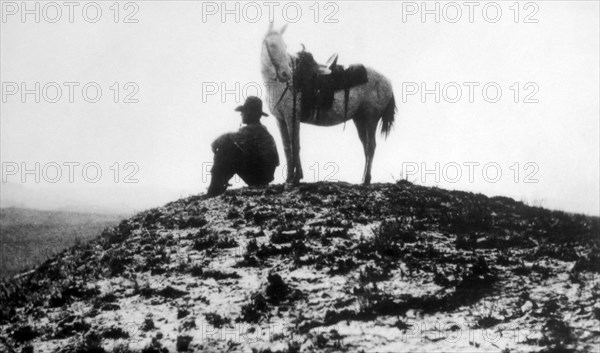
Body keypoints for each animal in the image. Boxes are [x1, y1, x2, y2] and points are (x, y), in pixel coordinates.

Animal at [262, 22, 394, 186]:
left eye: (285, 46)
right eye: (272, 45)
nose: (285, 74)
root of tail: (388, 82)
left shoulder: (292, 117)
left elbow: (295, 145)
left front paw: (296, 178)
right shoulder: (280, 119)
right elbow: (287, 147)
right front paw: (289, 178)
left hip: (371, 119)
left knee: (370, 146)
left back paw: (366, 179)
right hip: (360, 120)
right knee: (366, 146)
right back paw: (364, 178)